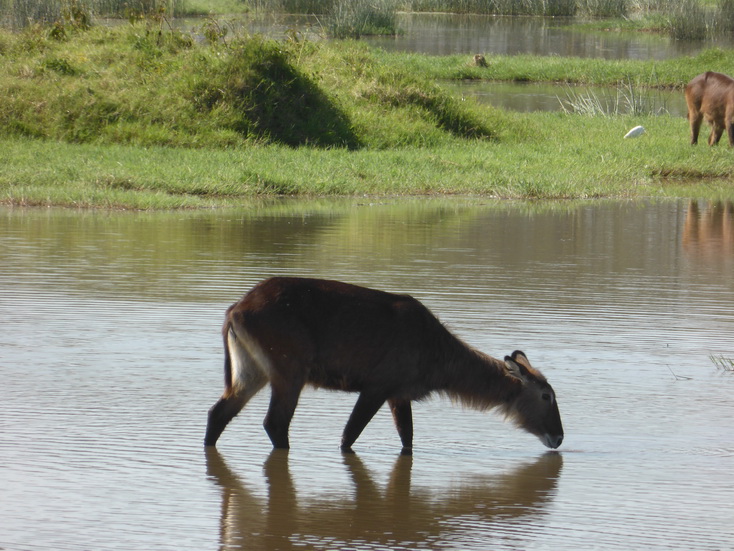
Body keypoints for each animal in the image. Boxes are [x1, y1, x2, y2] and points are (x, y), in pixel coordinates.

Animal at [204, 278, 568, 454]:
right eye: (547, 396)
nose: (559, 437)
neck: (436, 350)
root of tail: (238, 307)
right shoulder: (376, 388)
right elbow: (348, 437)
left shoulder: (399, 395)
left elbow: (407, 439)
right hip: (289, 374)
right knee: (274, 423)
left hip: (251, 372)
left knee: (218, 413)